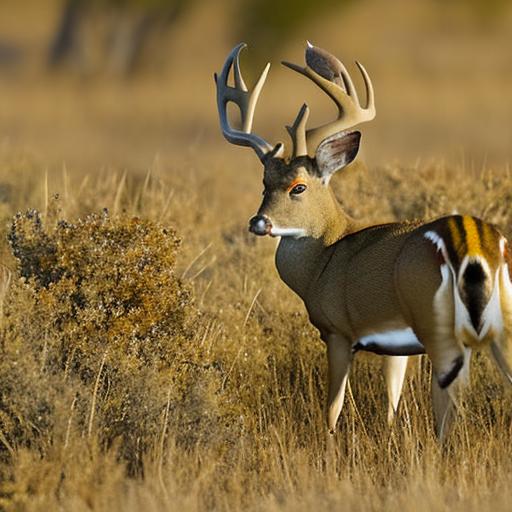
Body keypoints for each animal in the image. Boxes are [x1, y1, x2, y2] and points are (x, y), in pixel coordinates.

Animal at [214, 42, 512, 438]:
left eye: (298, 186)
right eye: (265, 183)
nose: (258, 222)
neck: (324, 258)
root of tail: (476, 248)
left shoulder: (337, 331)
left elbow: (333, 408)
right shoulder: (397, 347)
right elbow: (391, 404)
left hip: (438, 326)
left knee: (446, 409)